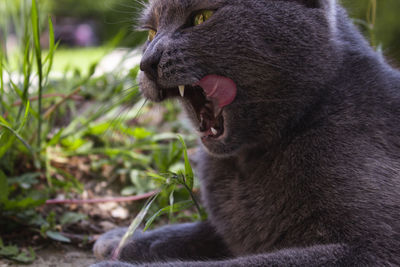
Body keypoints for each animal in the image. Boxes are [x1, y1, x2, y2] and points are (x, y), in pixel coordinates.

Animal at [91, 0, 400, 266]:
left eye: (202, 17)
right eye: (151, 32)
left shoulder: (375, 248)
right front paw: (124, 239)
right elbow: (197, 232)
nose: (146, 62)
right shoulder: (230, 229)